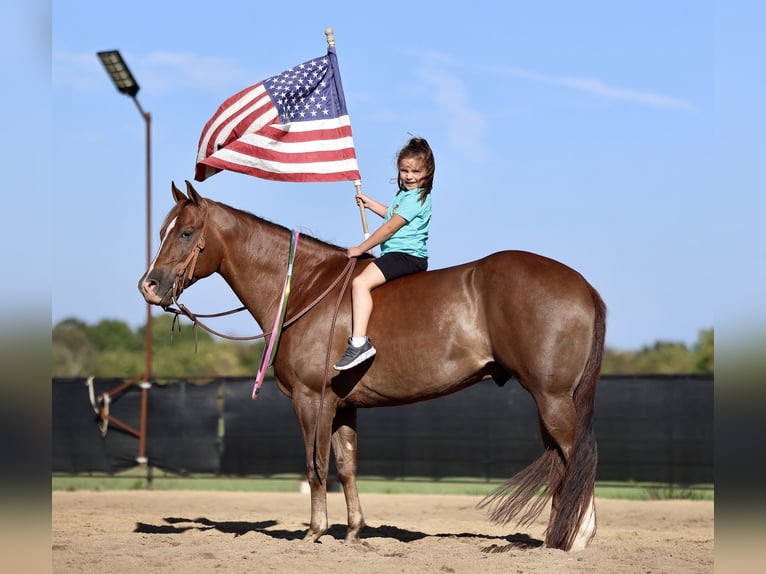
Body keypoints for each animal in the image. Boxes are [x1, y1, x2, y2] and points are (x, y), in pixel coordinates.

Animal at [139, 180, 606, 551]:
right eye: (162, 231)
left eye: (186, 232)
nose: (149, 286)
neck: (306, 286)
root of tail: (584, 285)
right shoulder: (344, 406)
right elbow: (346, 466)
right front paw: (353, 531)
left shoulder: (312, 400)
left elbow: (315, 465)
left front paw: (315, 531)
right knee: (564, 461)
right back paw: (557, 535)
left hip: (552, 398)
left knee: (578, 453)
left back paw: (578, 536)